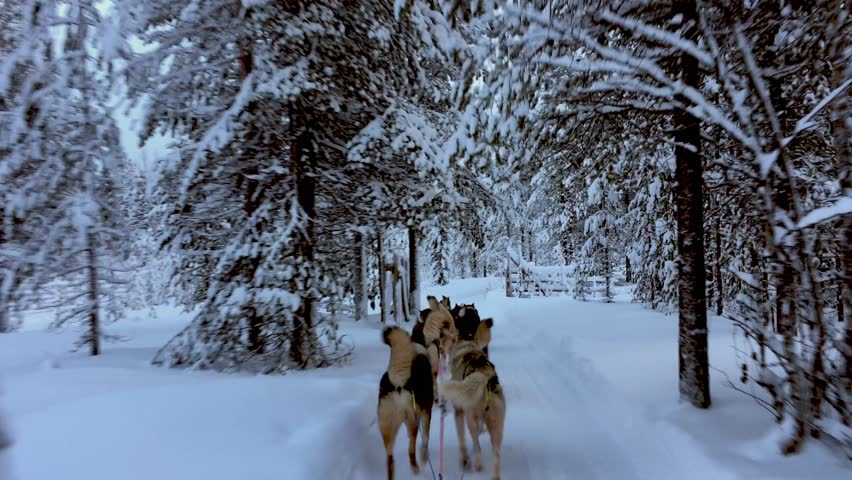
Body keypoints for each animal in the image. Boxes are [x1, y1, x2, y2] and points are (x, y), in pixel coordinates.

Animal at [378, 328, 432, 478]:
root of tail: (399, 383)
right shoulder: (427, 410)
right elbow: (426, 437)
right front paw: (424, 456)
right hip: (412, 420)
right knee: (411, 448)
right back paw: (415, 467)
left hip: (387, 427)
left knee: (390, 459)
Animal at [442, 324, 502, 478]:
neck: (468, 349)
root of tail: (484, 378)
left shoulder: (458, 412)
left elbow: (461, 440)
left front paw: (463, 460)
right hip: (496, 427)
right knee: (496, 455)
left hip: (471, 420)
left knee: (476, 445)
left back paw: (477, 464)